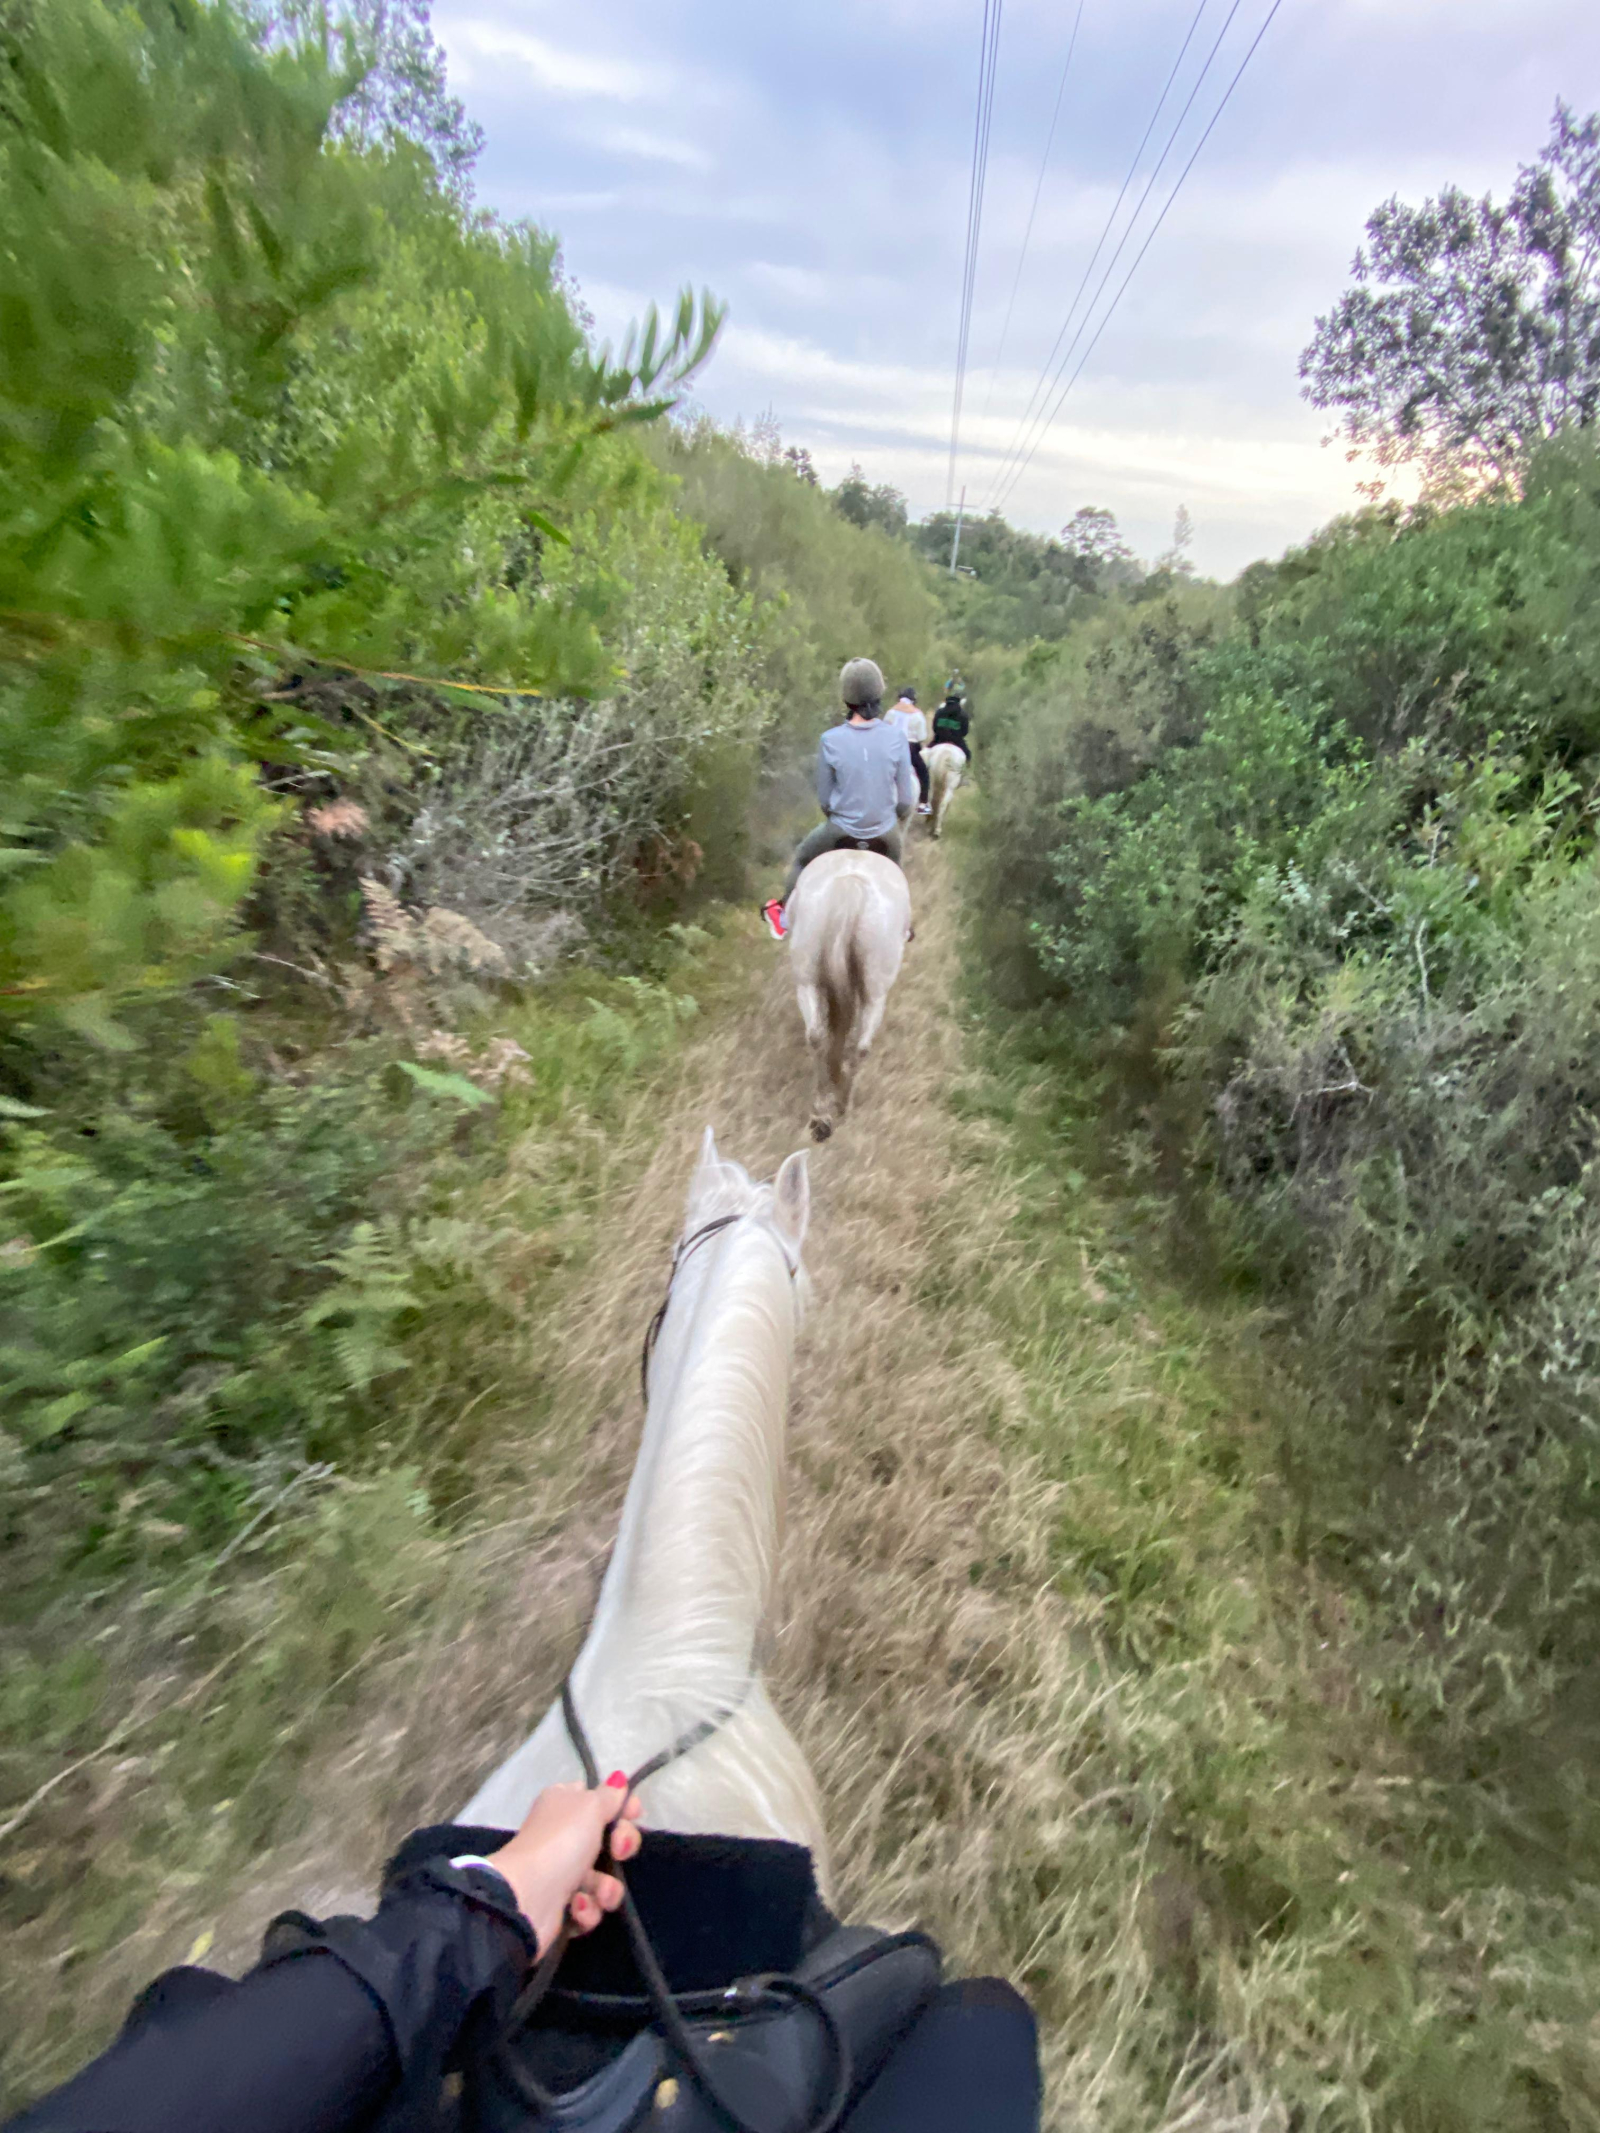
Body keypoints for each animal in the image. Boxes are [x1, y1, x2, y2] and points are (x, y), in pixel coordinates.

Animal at [785, 847, 913, 1143]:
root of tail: (851, 888)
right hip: (875, 994)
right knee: (860, 1046)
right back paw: (843, 1105)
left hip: (807, 981)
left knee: (818, 1036)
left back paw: (821, 1114)